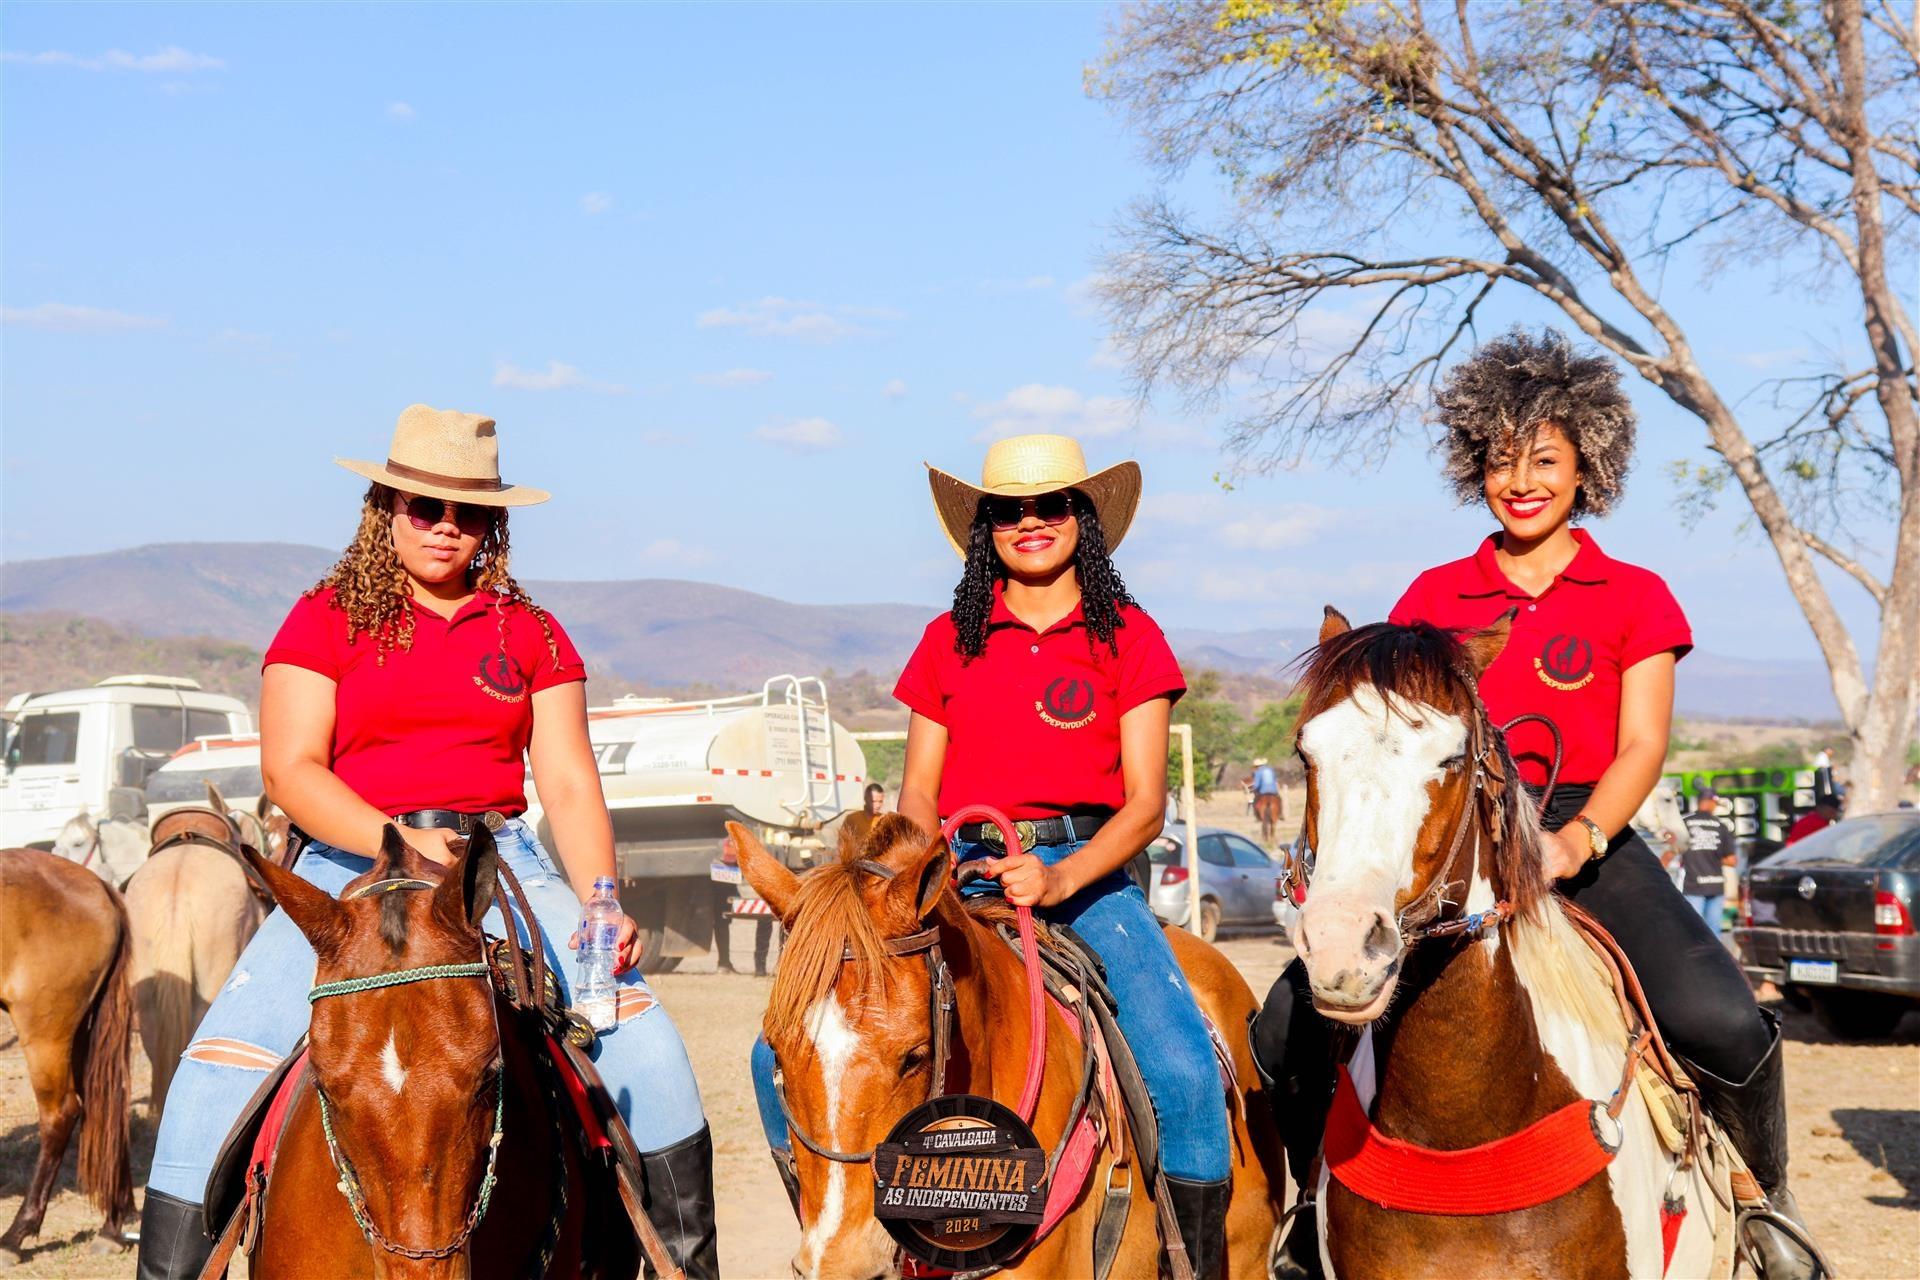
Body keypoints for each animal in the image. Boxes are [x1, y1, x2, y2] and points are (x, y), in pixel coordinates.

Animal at [0, 847, 134, 1257]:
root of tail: (99, 886)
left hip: (46, 1032)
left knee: (61, 1114)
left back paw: (15, 1235)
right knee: (106, 1104)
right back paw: (111, 1227)